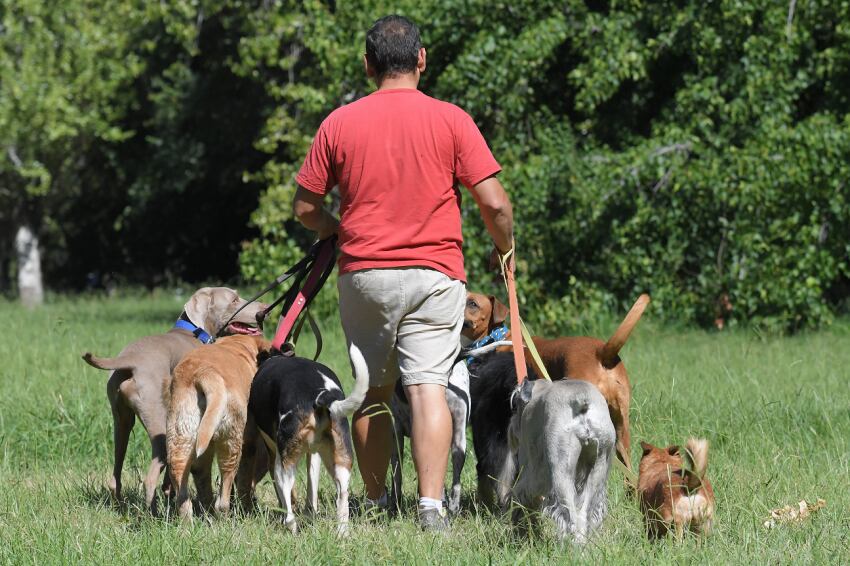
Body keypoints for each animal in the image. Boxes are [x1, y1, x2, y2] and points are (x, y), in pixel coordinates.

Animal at [166, 336, 272, 520]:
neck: (237, 345)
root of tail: (206, 373)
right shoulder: (249, 443)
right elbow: (245, 481)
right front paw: (247, 509)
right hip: (231, 442)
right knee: (224, 491)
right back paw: (223, 516)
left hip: (181, 434)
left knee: (184, 482)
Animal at [243, 346, 366, 536]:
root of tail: (319, 396)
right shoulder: (314, 454)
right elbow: (312, 489)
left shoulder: (272, 454)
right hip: (340, 460)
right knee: (342, 496)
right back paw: (341, 533)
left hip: (282, 466)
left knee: (289, 511)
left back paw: (291, 529)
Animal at [504, 378, 616, 544]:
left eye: (516, 406)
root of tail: (582, 398)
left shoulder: (531, 473)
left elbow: (522, 495)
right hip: (598, 467)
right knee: (584, 515)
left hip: (561, 471)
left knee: (570, 517)